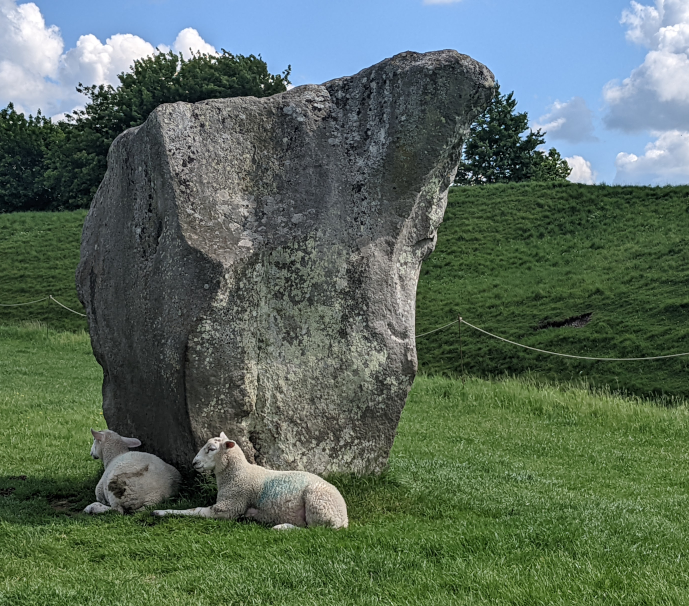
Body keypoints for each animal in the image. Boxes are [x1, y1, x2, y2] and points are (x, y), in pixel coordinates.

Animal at [150, 432, 344, 532]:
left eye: (211, 449)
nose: (194, 463)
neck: (238, 473)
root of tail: (343, 519)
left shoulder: (229, 507)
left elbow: (194, 510)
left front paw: (160, 512)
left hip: (317, 504)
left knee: (315, 530)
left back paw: (282, 527)